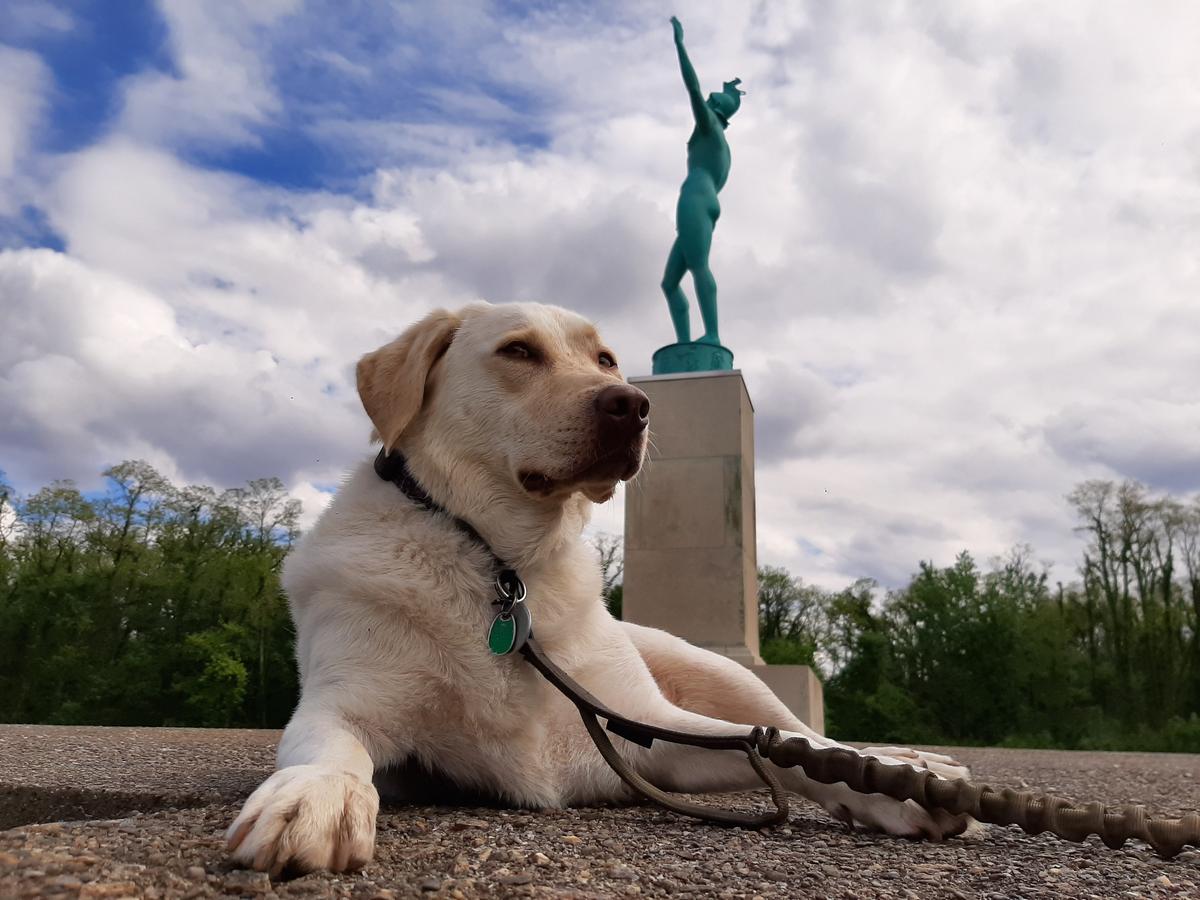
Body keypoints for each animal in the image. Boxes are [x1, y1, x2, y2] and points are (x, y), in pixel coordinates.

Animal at [226, 301, 974, 873]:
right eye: (518, 350)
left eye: (607, 359)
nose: (634, 406)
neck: (507, 566)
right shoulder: (343, 703)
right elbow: (333, 748)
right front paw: (316, 797)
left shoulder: (656, 736)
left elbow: (799, 756)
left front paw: (897, 791)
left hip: (724, 674)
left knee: (793, 730)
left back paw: (909, 761)